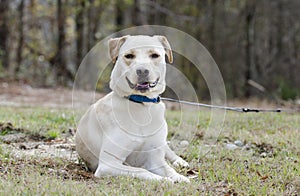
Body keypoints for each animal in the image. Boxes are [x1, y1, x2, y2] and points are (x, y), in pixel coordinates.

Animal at [76, 34, 191, 182]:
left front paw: (179, 178)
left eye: (155, 55)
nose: (142, 70)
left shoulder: (155, 160)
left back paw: (180, 162)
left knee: (168, 151)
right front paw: (165, 180)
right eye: (129, 56)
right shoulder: (108, 164)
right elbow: (142, 171)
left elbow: (169, 170)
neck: (142, 104)